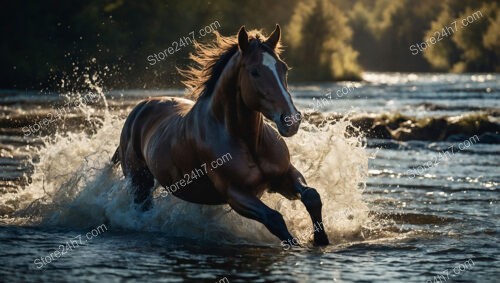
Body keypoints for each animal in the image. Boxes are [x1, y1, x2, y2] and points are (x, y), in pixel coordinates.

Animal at [114, 25, 332, 246]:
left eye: (283, 68)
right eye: (255, 71)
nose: (291, 120)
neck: (246, 141)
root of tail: (139, 109)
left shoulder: (284, 174)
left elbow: (312, 196)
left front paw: (321, 240)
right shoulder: (235, 193)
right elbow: (274, 218)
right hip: (140, 184)